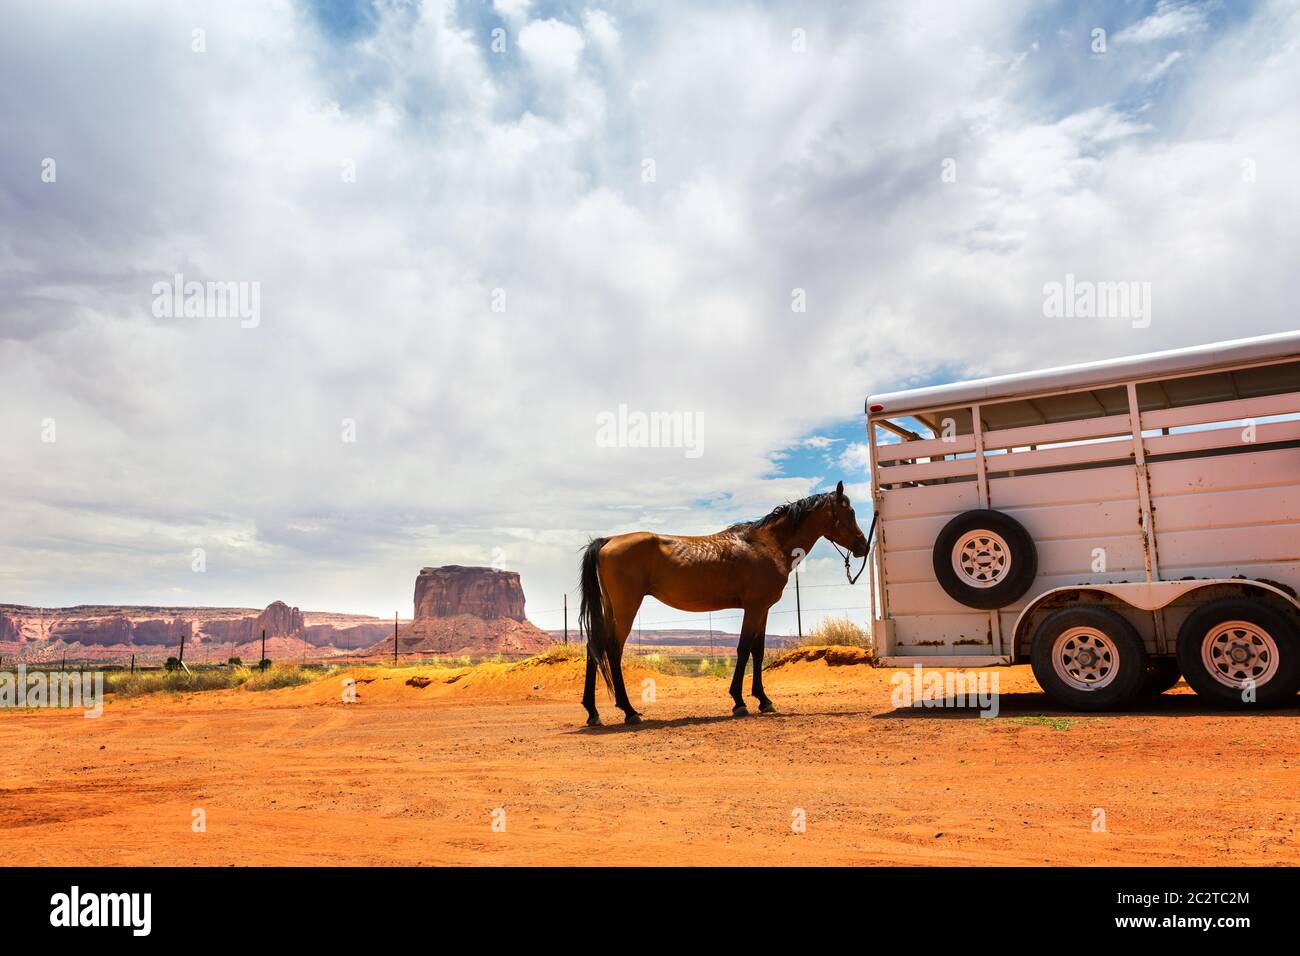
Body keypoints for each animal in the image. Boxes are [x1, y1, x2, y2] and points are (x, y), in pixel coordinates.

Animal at [578, 481, 870, 725]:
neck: (768, 543)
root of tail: (607, 541)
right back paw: (629, 711)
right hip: (626, 609)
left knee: (594, 647)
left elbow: (757, 651)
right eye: (850, 512)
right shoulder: (754, 607)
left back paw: (593, 713)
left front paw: (764, 701)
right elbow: (743, 649)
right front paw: (740, 702)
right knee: (612, 649)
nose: (863, 546)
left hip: (610, 609)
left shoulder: (762, 609)